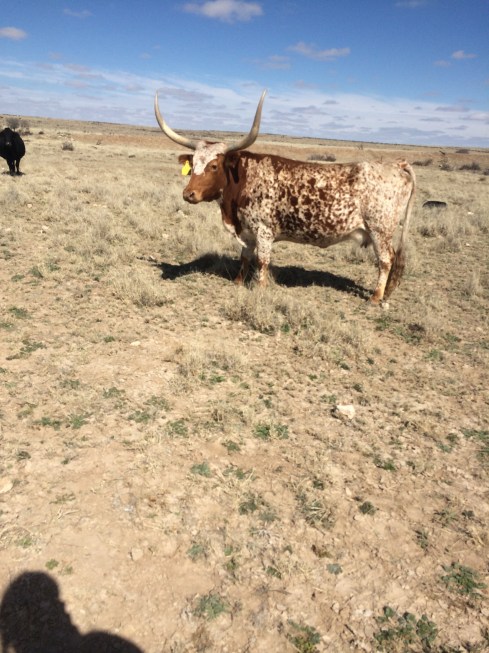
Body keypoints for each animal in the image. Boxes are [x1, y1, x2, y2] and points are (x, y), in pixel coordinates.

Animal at [154, 91, 416, 303]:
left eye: (214, 166)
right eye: (193, 165)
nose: (189, 194)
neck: (243, 179)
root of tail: (397, 164)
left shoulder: (264, 231)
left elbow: (262, 261)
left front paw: (260, 288)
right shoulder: (247, 232)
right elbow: (245, 257)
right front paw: (239, 282)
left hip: (380, 229)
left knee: (386, 260)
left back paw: (376, 297)